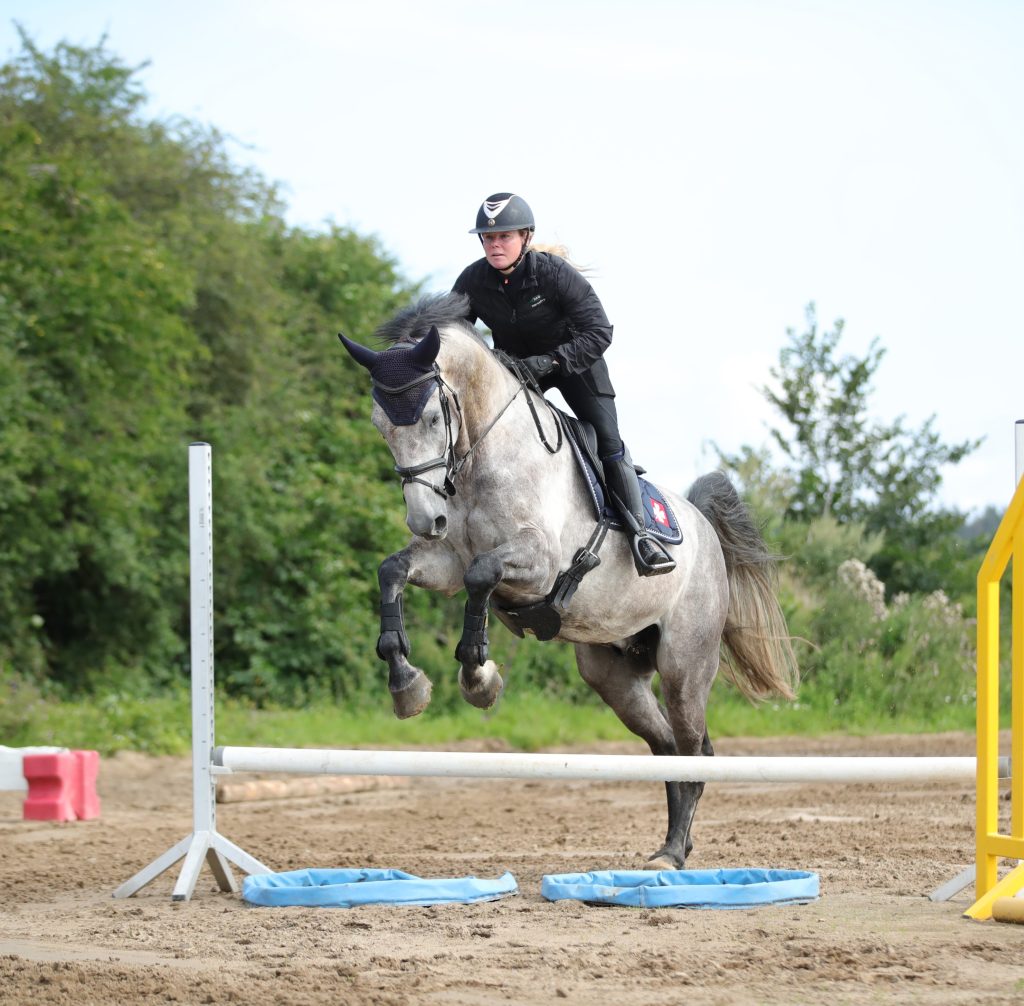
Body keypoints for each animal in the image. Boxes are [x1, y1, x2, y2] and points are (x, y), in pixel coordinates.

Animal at [339, 290, 794, 864]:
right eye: (381, 425)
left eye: (431, 416)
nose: (426, 521)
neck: (483, 456)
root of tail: (705, 529)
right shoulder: (443, 563)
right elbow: (394, 570)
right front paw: (406, 682)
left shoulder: (537, 566)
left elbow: (481, 576)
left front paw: (479, 677)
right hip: (613, 674)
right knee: (669, 747)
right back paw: (676, 846)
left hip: (685, 665)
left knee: (692, 750)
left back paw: (672, 852)